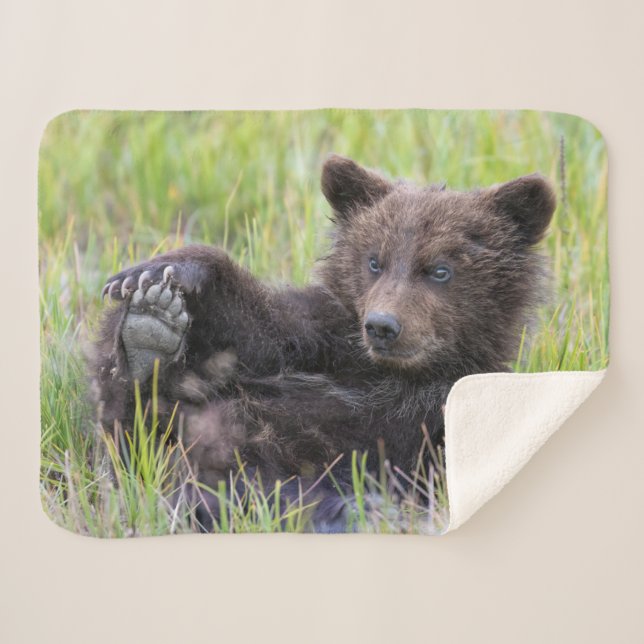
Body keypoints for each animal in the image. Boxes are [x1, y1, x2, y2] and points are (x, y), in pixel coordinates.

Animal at [90, 154, 556, 531]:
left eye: (440, 270)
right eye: (374, 261)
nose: (382, 326)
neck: (397, 373)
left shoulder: (434, 415)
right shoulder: (325, 340)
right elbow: (261, 331)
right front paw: (158, 274)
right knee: (133, 433)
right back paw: (146, 337)